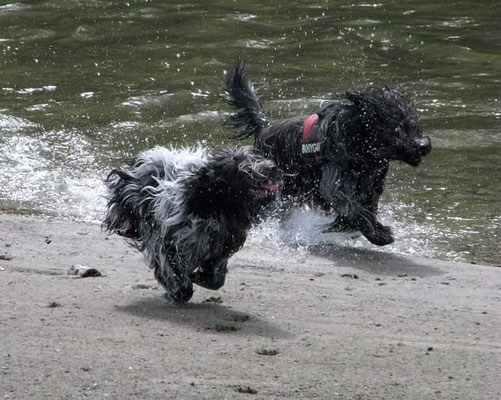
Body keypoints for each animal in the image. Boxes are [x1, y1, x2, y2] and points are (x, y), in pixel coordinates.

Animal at [103, 146, 280, 304]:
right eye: (239, 163)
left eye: (256, 156)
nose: (272, 167)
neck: (214, 207)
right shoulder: (167, 241)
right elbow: (172, 270)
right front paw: (179, 291)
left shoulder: (223, 245)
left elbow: (216, 276)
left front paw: (201, 278)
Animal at [223, 60, 430, 245]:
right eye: (397, 127)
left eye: (414, 124)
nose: (423, 145)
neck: (357, 142)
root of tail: (264, 128)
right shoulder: (333, 180)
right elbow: (351, 207)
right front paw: (379, 235)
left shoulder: (371, 185)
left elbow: (367, 207)